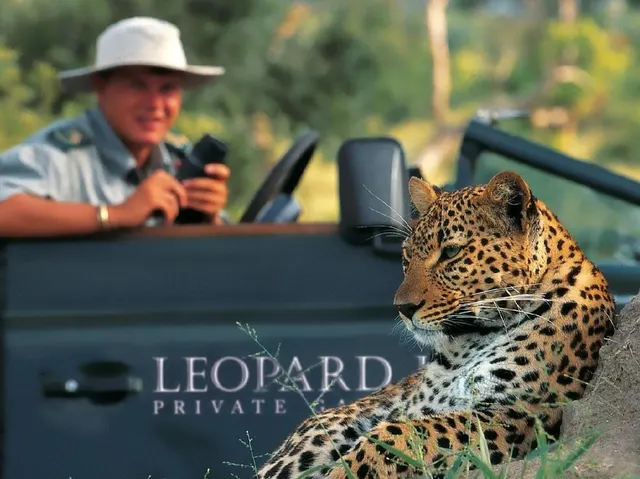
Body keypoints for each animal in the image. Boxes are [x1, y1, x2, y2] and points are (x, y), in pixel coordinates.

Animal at [256, 171, 617, 479]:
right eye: (406, 257)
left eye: (451, 252)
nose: (403, 308)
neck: (463, 346)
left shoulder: (522, 413)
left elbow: (403, 433)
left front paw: (345, 472)